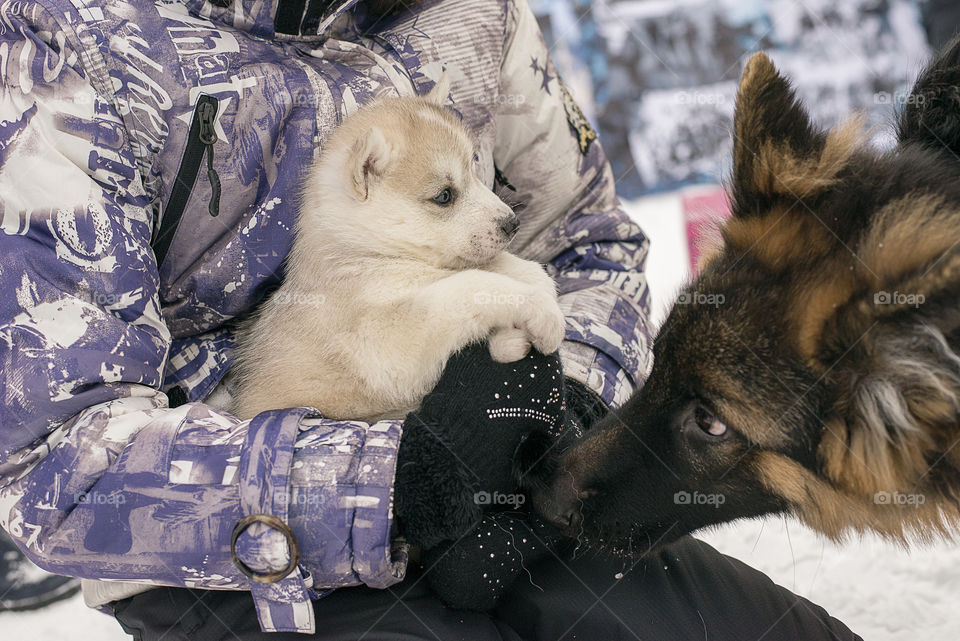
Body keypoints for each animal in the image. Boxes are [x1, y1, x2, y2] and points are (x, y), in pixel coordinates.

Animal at [230, 79, 568, 420]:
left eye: (475, 171)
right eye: (444, 196)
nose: (512, 224)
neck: (366, 254)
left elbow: (516, 269)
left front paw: (520, 320)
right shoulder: (386, 344)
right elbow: (470, 286)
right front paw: (538, 312)